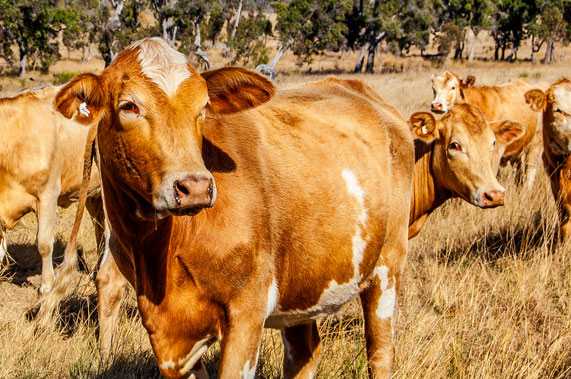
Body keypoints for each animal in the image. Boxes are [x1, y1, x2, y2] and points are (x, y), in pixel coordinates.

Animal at [52, 38, 416, 379]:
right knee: (304, 353)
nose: (195, 187)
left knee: (380, 354)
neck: (160, 254)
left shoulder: (247, 311)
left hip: (387, 267)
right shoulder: (171, 339)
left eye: (203, 107)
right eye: (129, 106)